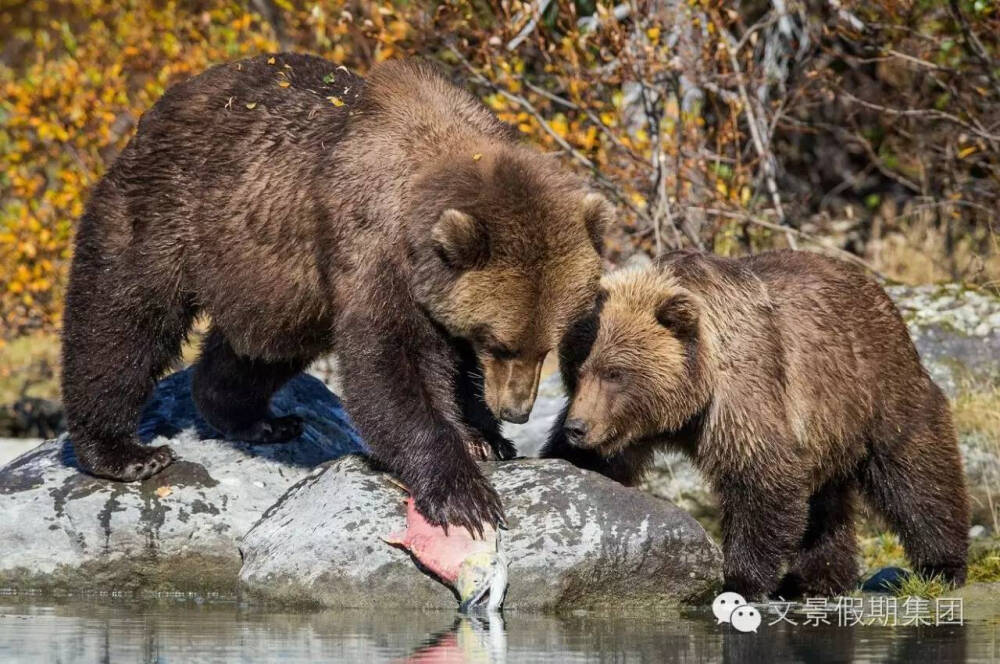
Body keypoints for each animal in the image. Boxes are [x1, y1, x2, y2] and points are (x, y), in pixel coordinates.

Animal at [66, 54, 608, 536]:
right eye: (500, 342)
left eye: (547, 347)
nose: (516, 412)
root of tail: (164, 102)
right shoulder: (378, 249)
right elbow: (392, 364)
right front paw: (464, 492)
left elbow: (450, 365)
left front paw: (485, 438)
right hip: (166, 212)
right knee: (121, 317)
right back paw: (123, 452)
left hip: (277, 285)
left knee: (258, 349)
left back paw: (255, 418)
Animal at [544, 250, 972, 600]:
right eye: (577, 371)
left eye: (615, 373)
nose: (578, 428)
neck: (687, 399)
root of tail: (877, 289)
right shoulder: (629, 427)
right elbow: (604, 463)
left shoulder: (741, 397)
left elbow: (760, 479)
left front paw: (740, 580)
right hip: (825, 425)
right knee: (825, 502)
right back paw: (817, 578)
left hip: (876, 386)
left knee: (915, 472)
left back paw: (941, 565)